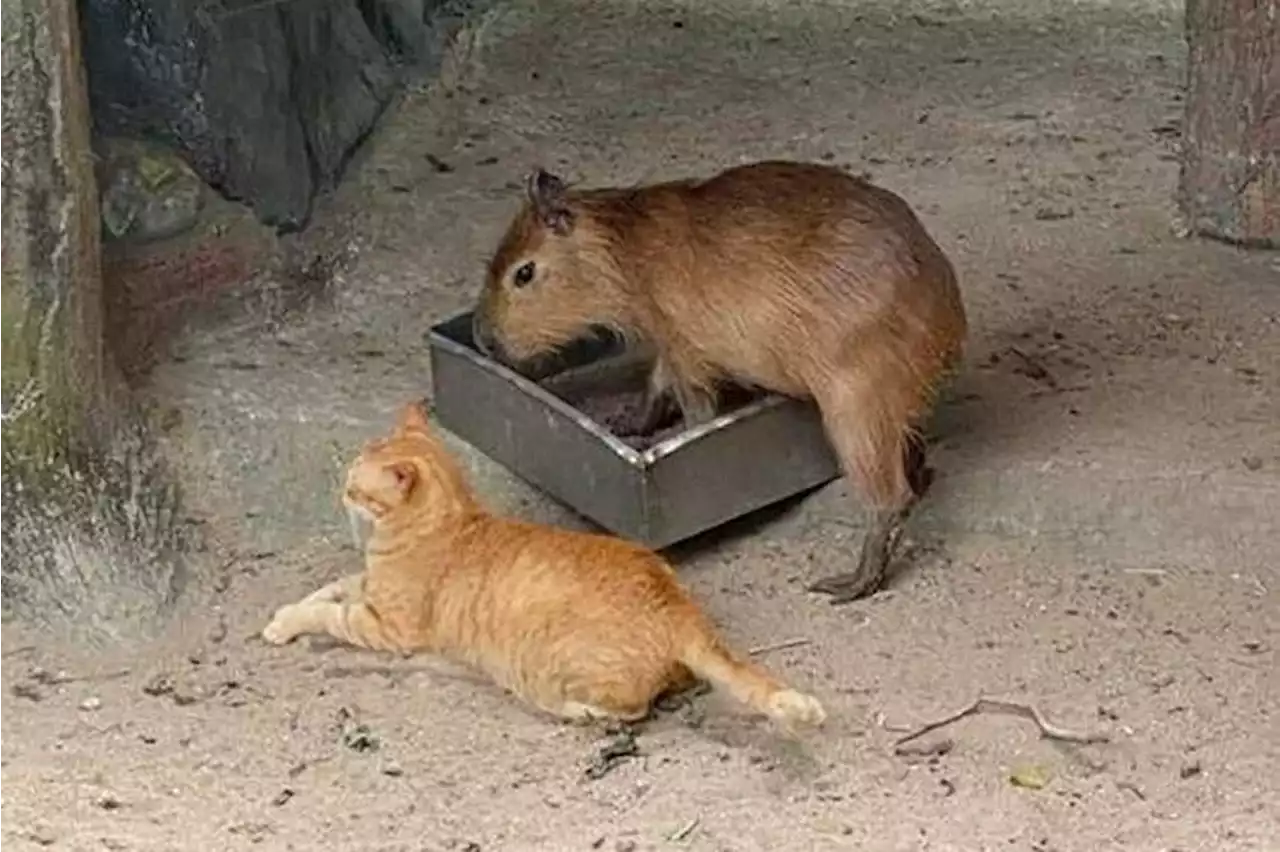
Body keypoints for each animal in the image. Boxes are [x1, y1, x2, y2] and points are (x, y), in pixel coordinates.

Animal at [262, 399, 829, 731]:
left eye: (355, 488)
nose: (340, 492)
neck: (447, 521)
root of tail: (678, 610)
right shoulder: (366, 587)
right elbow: (328, 589)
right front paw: (285, 613)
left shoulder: (385, 627)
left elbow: (327, 612)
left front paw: (288, 623)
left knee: (630, 709)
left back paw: (574, 709)